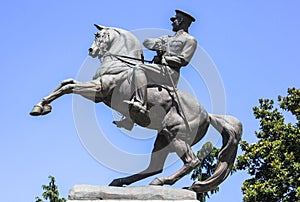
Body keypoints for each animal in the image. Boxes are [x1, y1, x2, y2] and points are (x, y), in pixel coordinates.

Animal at [29, 25, 241, 193]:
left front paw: (40, 107)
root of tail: (208, 115)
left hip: (174, 135)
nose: (91, 50)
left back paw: (159, 182)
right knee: (155, 166)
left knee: (191, 161)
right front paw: (41, 106)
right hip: (163, 138)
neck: (119, 62)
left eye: (99, 35)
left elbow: (68, 87)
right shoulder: (96, 88)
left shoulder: (99, 90)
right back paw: (121, 181)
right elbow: (66, 82)